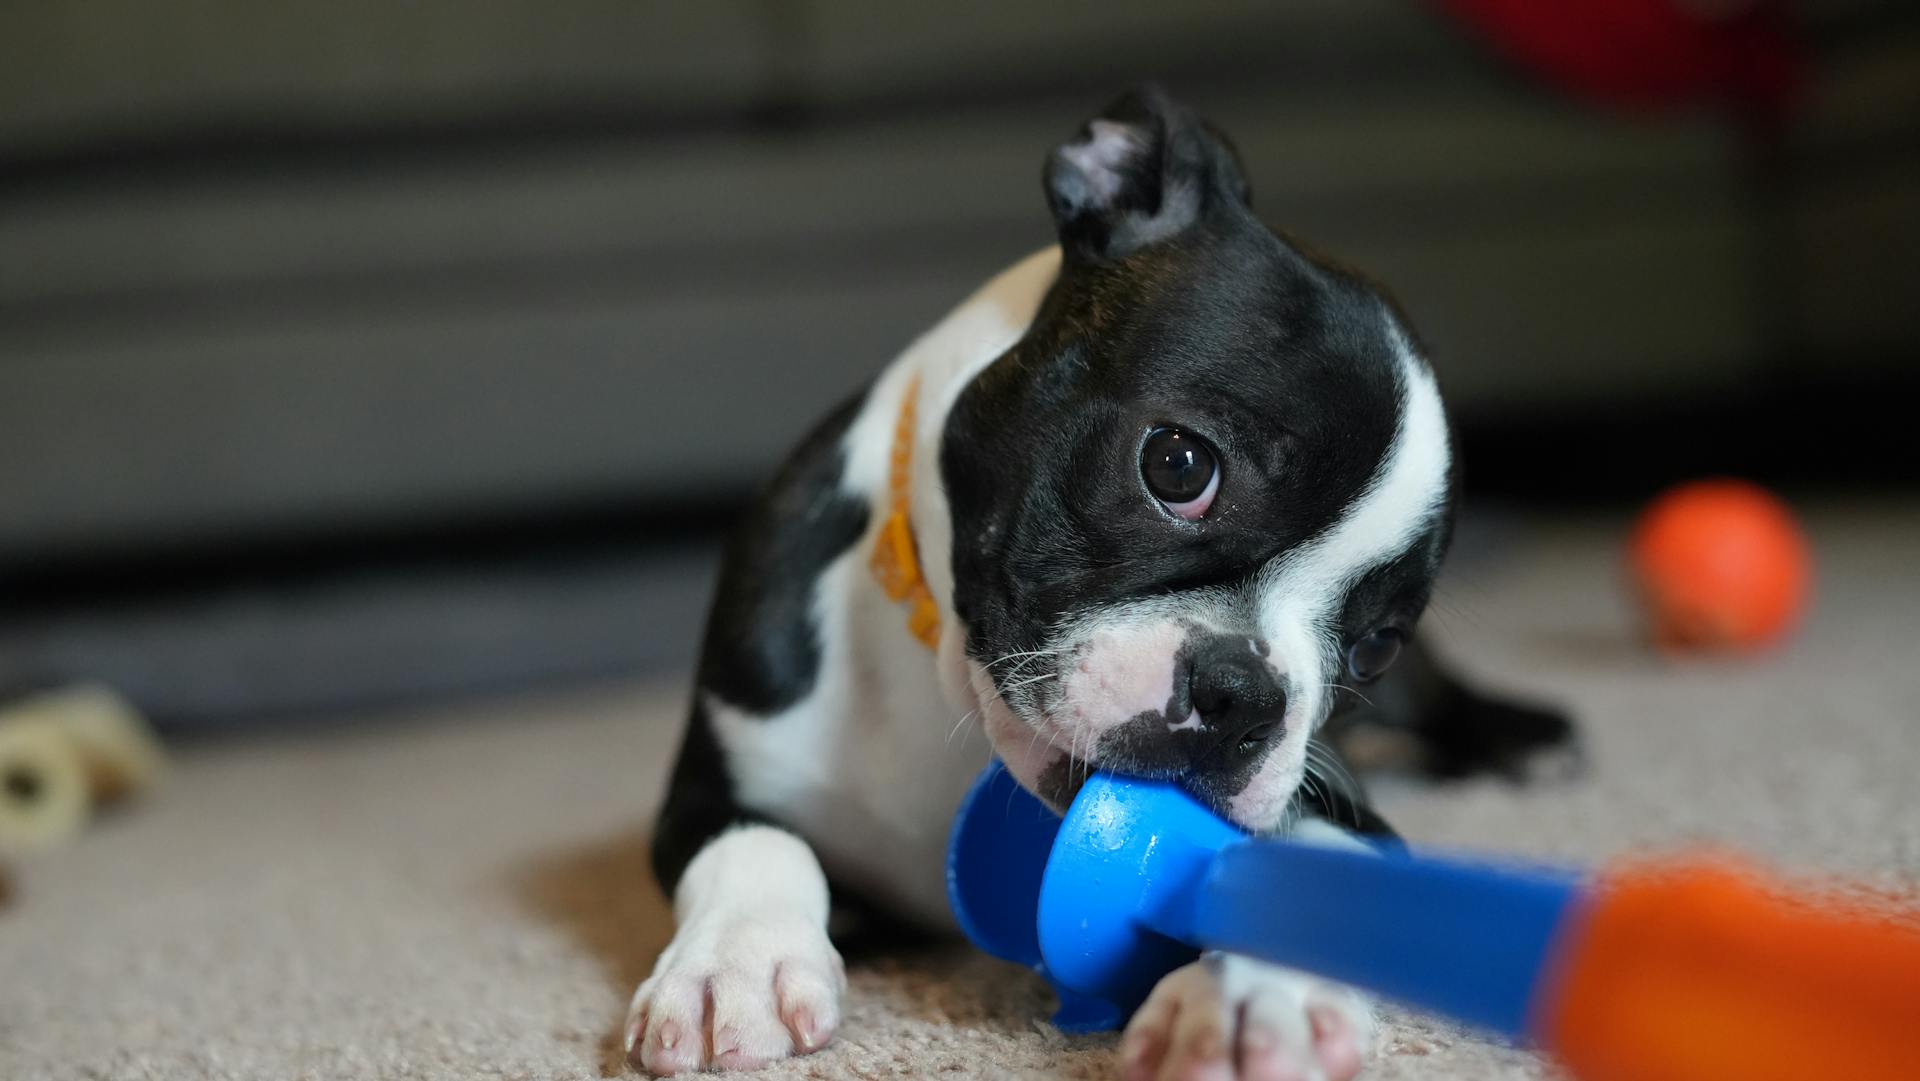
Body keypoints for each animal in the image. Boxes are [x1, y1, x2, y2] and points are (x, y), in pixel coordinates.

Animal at [629, 86, 1574, 1081]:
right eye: (1178, 464)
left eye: (1376, 643)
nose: (1244, 693)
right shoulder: (711, 781)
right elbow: (759, 842)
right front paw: (736, 962)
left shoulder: (1341, 808)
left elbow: (1294, 876)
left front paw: (1247, 999)